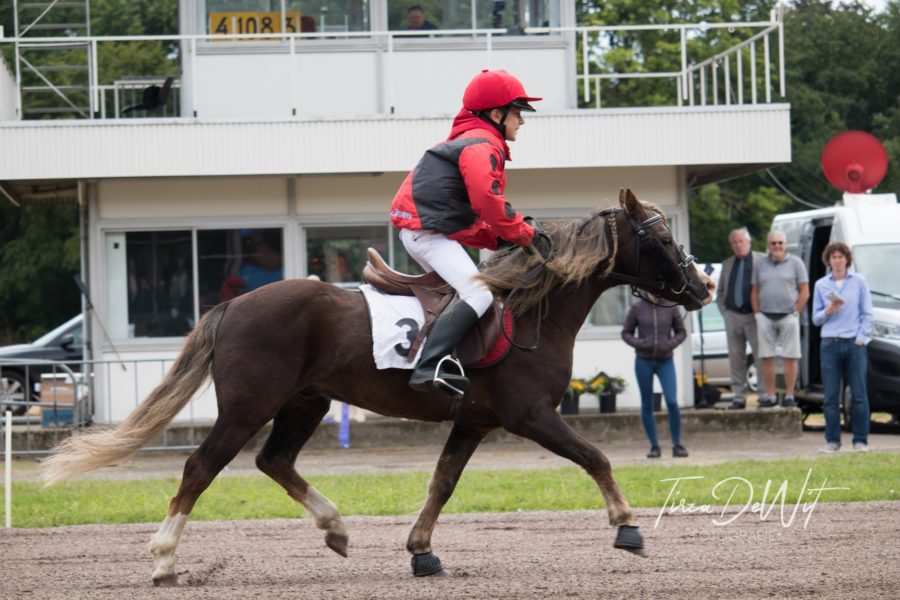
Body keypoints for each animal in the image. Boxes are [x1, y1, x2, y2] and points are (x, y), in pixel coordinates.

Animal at [42, 189, 712, 584]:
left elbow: (442, 483)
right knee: (199, 467)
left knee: (273, 461)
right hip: (247, 408)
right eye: (659, 237)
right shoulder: (530, 415)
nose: (702, 286)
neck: (530, 310)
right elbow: (595, 457)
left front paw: (421, 549)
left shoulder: (474, 421)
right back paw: (163, 558)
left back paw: (335, 527)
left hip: (304, 403)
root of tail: (232, 305)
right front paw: (626, 525)